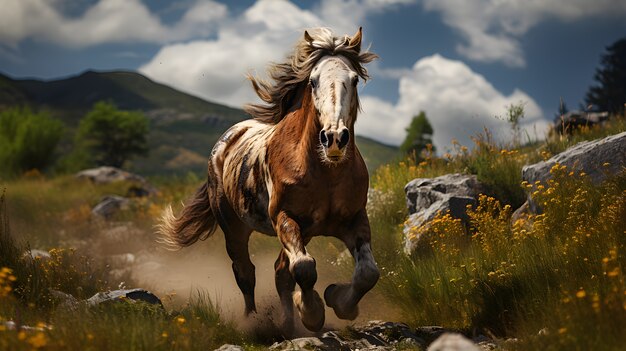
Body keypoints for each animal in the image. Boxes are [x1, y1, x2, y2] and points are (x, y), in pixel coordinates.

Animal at [158, 27, 378, 336]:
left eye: (355, 79)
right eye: (313, 81)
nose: (334, 138)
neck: (326, 172)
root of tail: (225, 142)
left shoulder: (354, 219)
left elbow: (368, 273)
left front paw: (337, 299)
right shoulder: (284, 217)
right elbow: (304, 268)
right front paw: (312, 313)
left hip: (303, 232)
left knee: (279, 271)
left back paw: (287, 323)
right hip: (234, 227)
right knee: (246, 272)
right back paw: (253, 321)